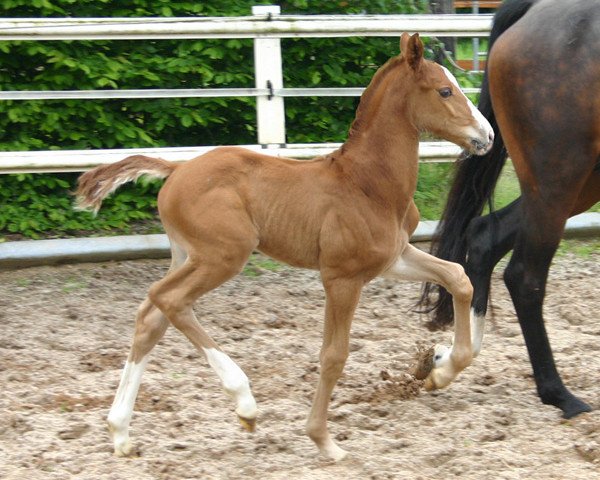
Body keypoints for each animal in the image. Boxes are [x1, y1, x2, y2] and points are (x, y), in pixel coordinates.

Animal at [76, 33, 492, 462]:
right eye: (445, 90)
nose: (488, 136)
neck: (367, 183)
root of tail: (176, 169)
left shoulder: (394, 257)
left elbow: (458, 277)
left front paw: (441, 370)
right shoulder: (341, 277)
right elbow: (334, 354)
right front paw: (324, 440)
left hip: (187, 256)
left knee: (151, 317)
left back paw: (121, 433)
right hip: (223, 256)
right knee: (168, 299)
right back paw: (244, 402)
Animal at [420, 0, 596, 418]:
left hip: (576, 184)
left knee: (485, 236)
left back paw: (449, 362)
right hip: (558, 180)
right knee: (524, 276)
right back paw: (559, 394)